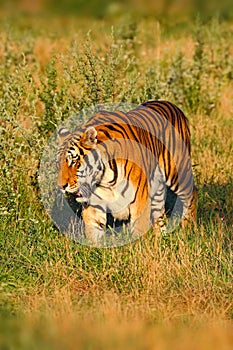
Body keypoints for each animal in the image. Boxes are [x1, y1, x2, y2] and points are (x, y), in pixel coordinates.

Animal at [56, 100, 197, 245]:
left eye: (74, 162)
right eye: (58, 164)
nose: (61, 186)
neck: (104, 179)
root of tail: (171, 104)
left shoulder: (139, 198)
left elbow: (138, 229)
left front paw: (138, 248)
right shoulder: (94, 205)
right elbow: (94, 233)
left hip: (177, 173)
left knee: (192, 194)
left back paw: (189, 230)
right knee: (159, 213)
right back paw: (161, 240)